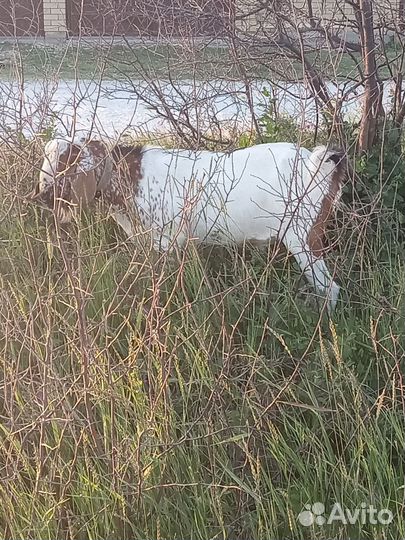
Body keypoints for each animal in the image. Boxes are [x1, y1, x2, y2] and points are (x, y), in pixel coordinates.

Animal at [30, 137, 346, 314]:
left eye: (64, 161)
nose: (42, 196)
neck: (129, 177)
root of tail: (315, 163)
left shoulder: (168, 242)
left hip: (303, 238)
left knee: (329, 288)